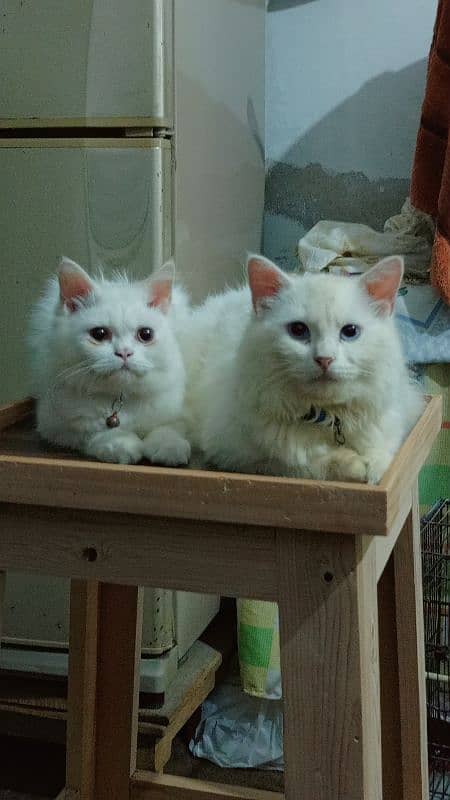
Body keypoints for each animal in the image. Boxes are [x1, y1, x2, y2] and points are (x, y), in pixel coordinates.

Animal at [28, 256, 190, 468]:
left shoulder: (179, 412)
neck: (121, 399)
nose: (124, 353)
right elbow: (97, 433)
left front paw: (169, 448)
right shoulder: (56, 425)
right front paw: (122, 445)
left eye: (145, 334)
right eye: (99, 334)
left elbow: (168, 428)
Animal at [185, 253, 424, 484]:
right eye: (298, 330)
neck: (329, 418)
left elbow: (382, 457)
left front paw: (371, 470)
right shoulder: (239, 456)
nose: (324, 359)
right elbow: (307, 466)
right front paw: (353, 465)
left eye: (350, 331)